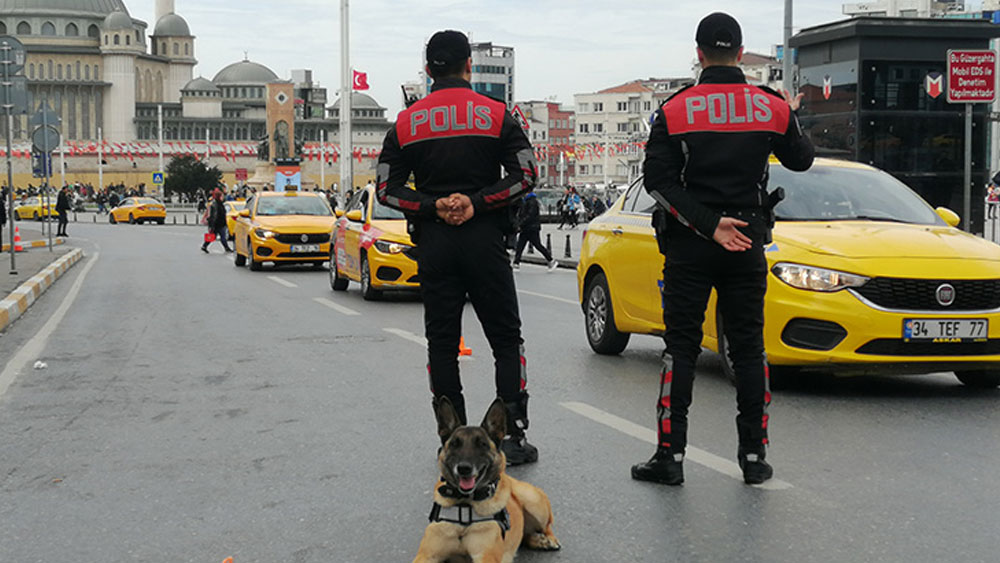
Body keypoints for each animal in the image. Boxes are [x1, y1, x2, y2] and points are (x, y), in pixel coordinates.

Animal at [410, 398, 560, 560]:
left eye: (482, 444)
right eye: (454, 444)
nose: (464, 468)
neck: (465, 506)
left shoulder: (485, 557)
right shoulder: (426, 555)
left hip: (534, 503)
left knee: (546, 527)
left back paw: (548, 539)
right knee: (525, 536)